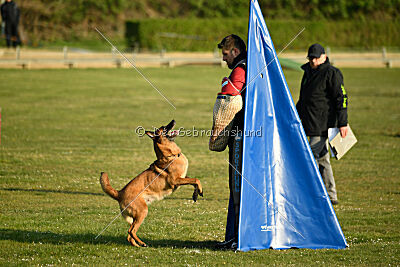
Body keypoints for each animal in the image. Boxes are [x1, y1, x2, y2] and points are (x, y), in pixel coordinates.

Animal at [100, 120, 203, 248]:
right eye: (164, 127)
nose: (173, 120)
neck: (170, 156)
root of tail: (119, 193)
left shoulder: (183, 178)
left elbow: (194, 181)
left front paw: (196, 194)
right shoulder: (175, 180)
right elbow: (196, 180)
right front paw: (199, 190)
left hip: (135, 217)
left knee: (129, 234)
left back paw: (137, 245)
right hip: (143, 211)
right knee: (131, 231)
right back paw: (142, 243)